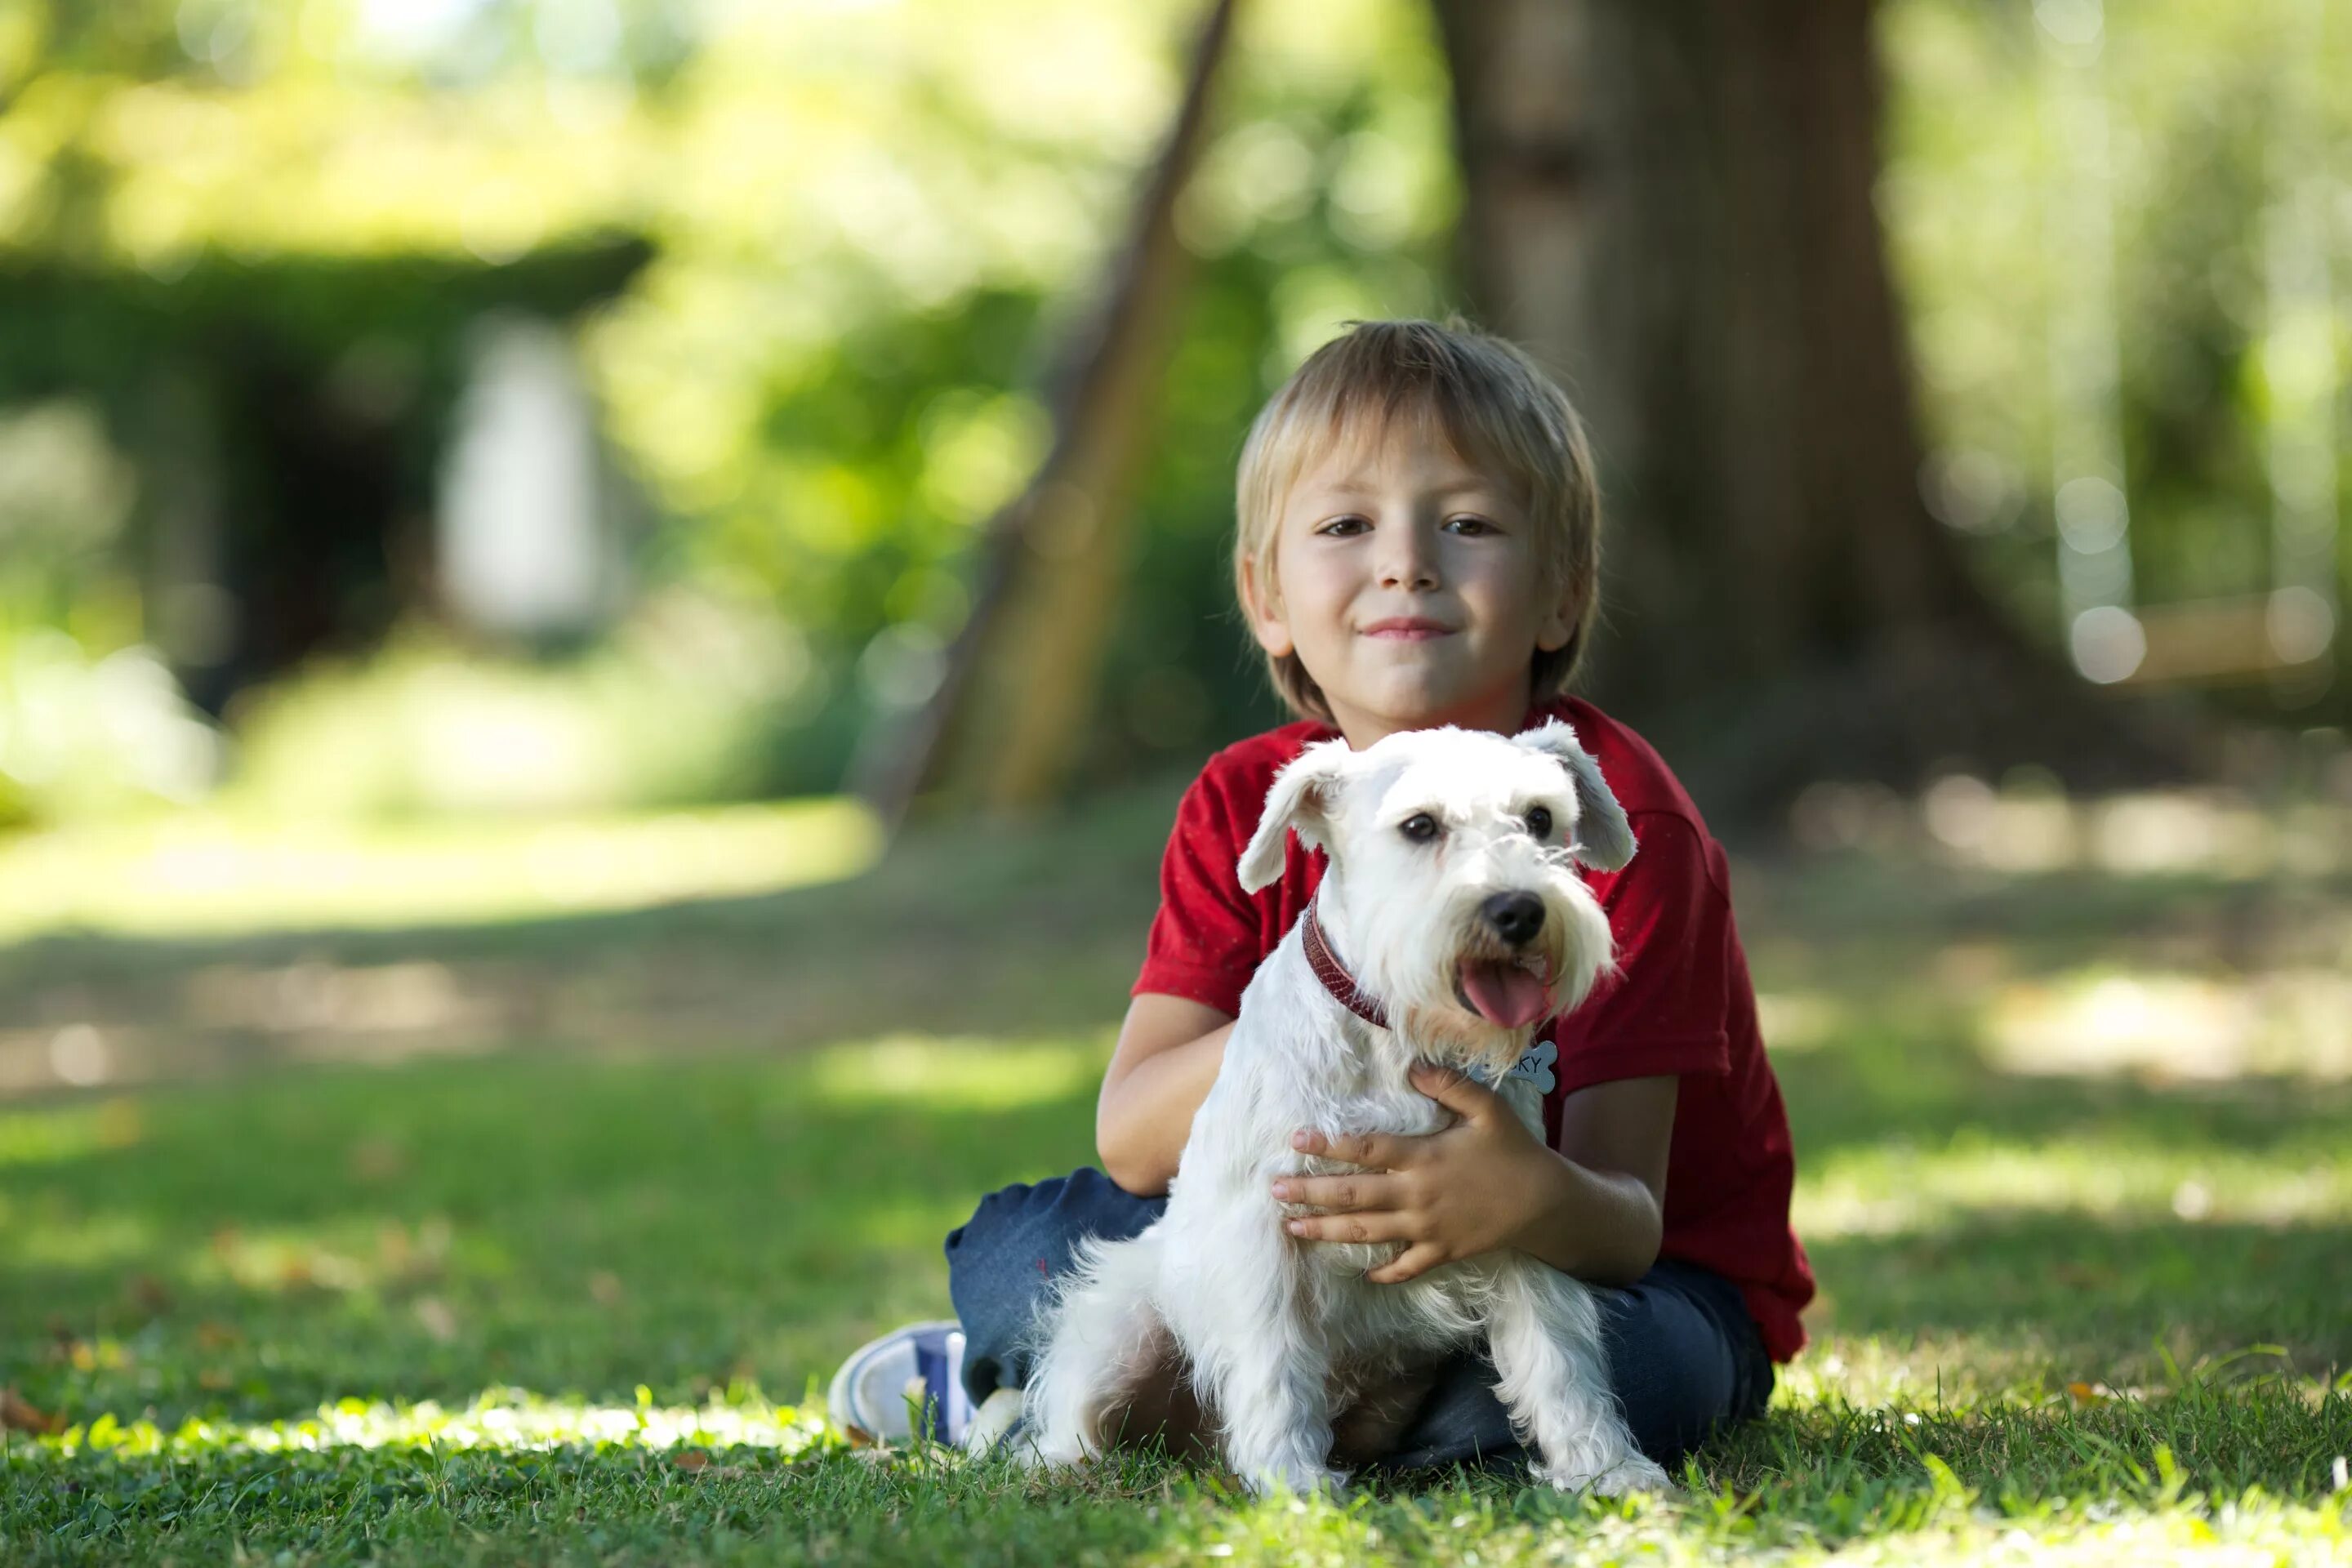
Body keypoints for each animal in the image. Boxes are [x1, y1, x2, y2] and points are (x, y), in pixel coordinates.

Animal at [1020, 724, 1665, 1494]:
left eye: (1540, 817)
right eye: (1420, 825)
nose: (1519, 911)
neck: (1395, 1040)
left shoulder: (1520, 1213)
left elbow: (1558, 1357)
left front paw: (1607, 1470)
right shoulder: (1268, 1230)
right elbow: (1272, 1367)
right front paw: (1291, 1483)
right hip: (1121, 1328)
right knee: (1070, 1423)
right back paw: (1062, 1467)